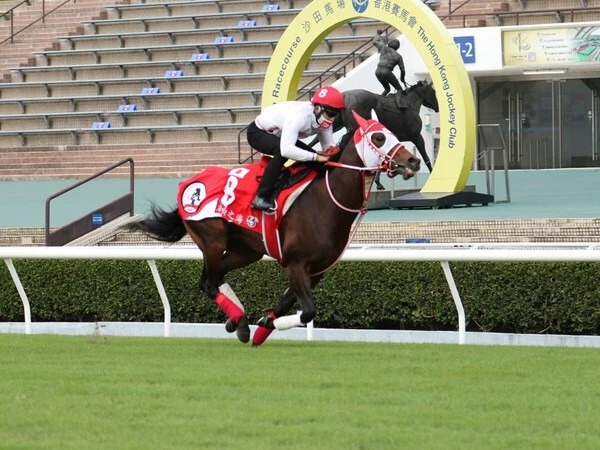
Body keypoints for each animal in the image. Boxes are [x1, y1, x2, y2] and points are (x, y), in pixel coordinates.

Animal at [123, 110, 420, 346]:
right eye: (379, 137)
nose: (413, 161)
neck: (325, 201)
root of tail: (188, 185)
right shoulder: (295, 263)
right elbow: (307, 311)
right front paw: (266, 325)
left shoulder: (317, 270)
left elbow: (287, 304)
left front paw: (264, 326)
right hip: (212, 239)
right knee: (208, 282)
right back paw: (240, 322)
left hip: (246, 251)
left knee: (215, 279)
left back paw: (236, 321)